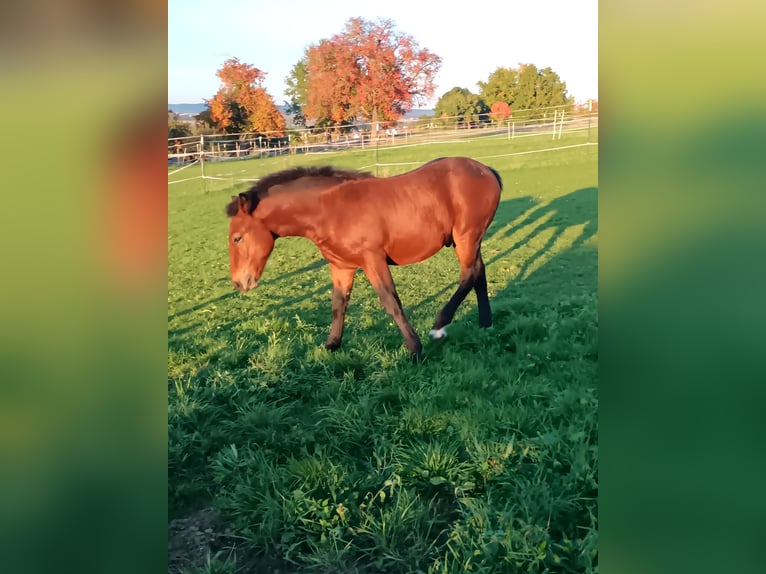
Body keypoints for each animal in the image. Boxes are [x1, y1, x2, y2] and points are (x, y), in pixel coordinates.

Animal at [225, 156, 502, 359]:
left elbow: (391, 302)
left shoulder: (373, 261)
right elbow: (338, 305)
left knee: (468, 275)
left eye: (237, 238)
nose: (240, 282)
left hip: (466, 237)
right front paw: (332, 344)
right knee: (479, 272)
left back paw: (439, 325)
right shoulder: (341, 267)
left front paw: (414, 349)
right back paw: (485, 323)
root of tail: (487, 170)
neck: (330, 210)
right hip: (470, 240)